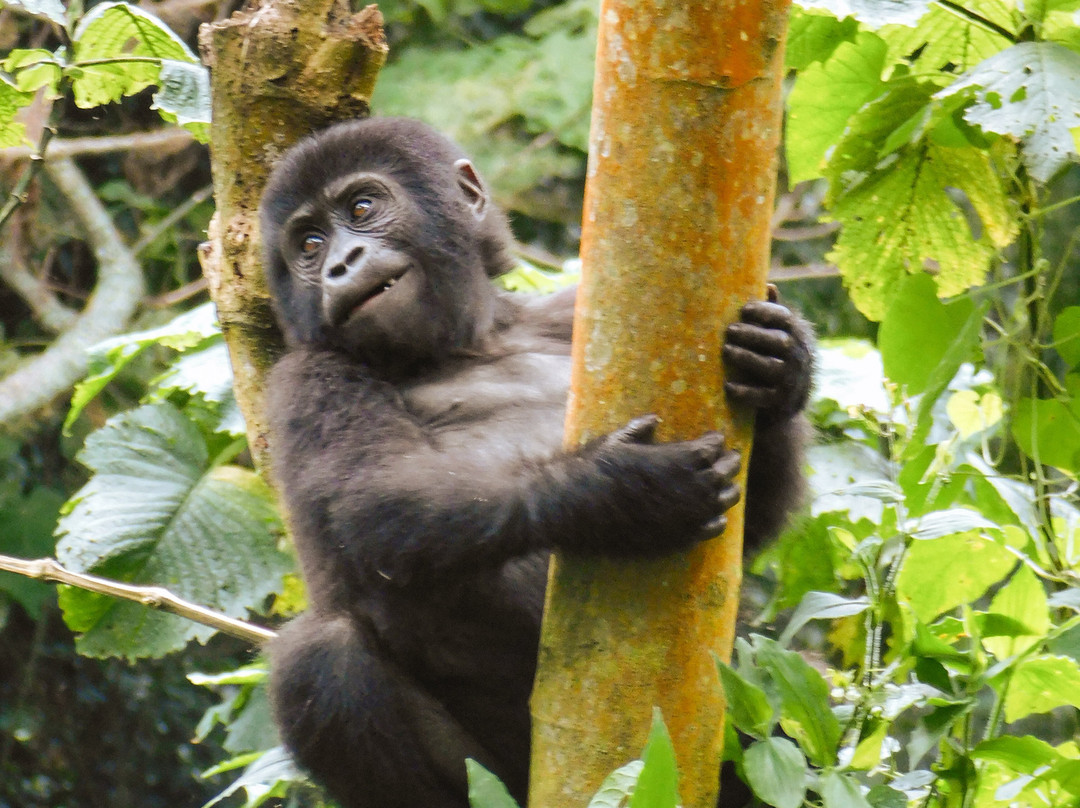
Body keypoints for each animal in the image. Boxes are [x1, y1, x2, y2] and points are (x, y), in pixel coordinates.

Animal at [259, 117, 813, 808]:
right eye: (308, 244)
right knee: (319, 655)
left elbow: (743, 535)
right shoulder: (306, 375)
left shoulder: (570, 313)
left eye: (361, 209)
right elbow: (375, 504)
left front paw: (782, 367)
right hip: (498, 779)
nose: (339, 264)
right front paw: (618, 494)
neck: (472, 341)